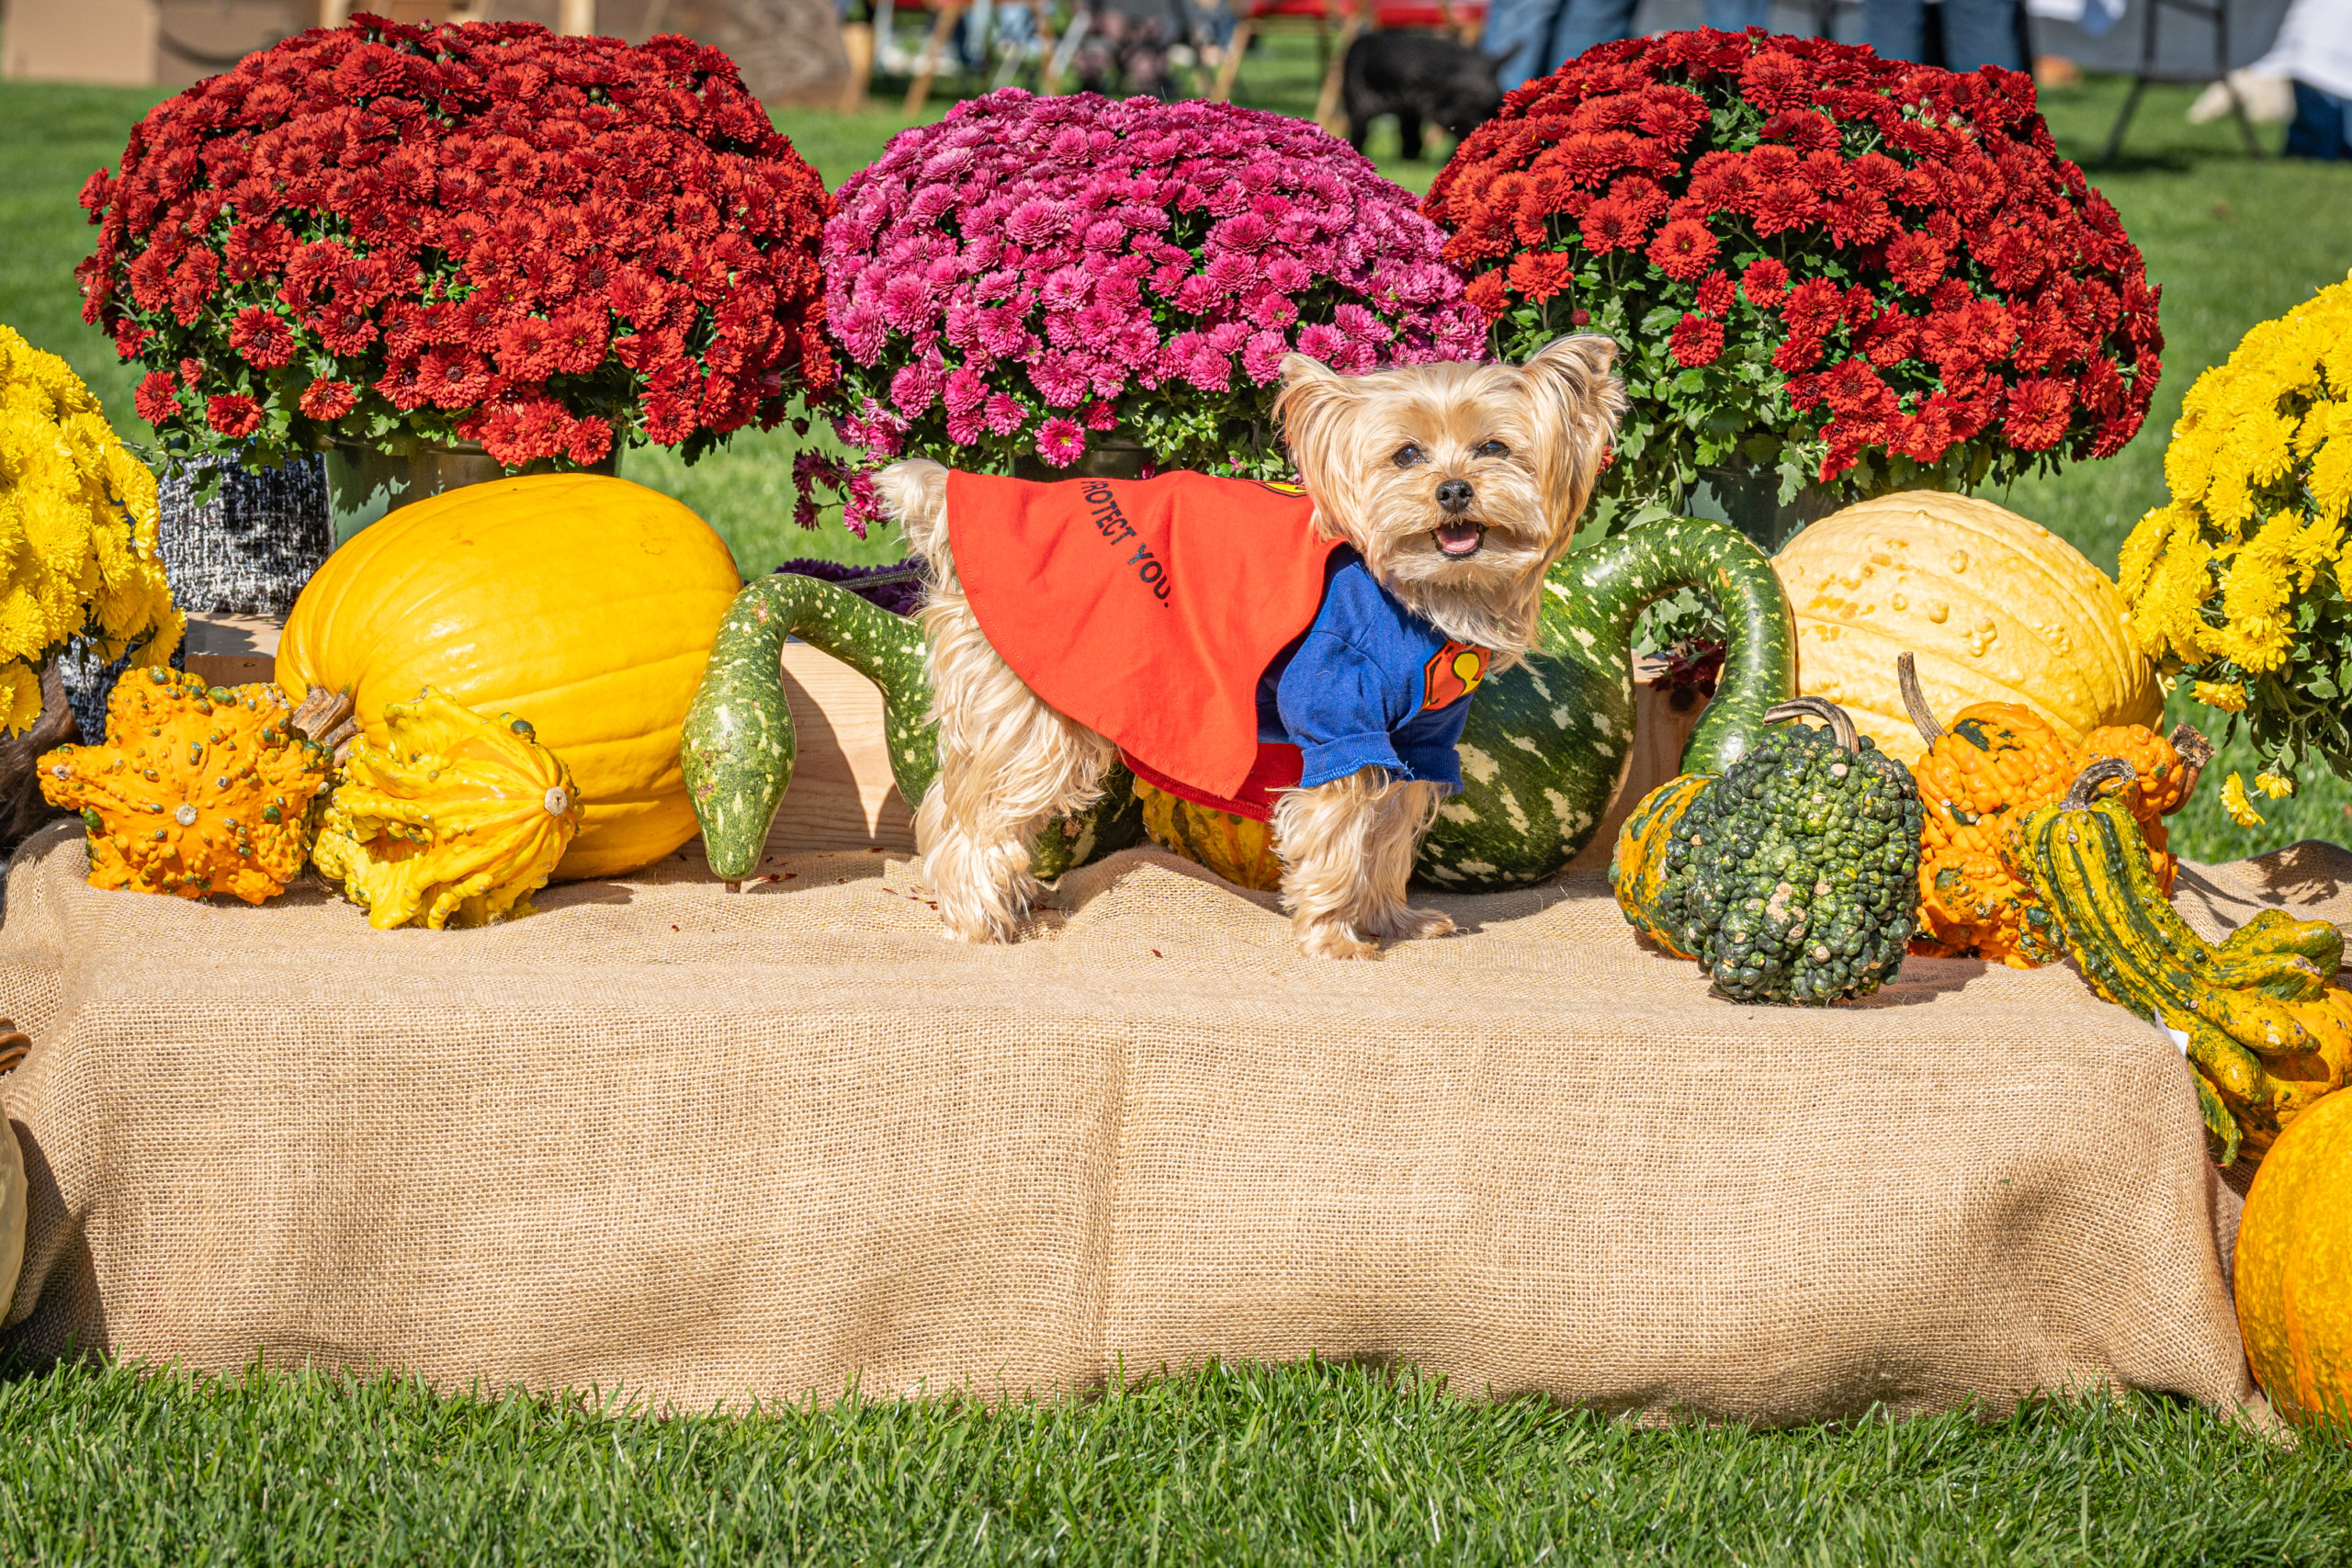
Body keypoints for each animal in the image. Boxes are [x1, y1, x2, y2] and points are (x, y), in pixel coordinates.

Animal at [875, 333, 1627, 959]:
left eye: (1494, 449)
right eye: (1406, 455)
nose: (1452, 490)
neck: (1421, 595)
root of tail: (954, 504)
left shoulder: (1422, 739)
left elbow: (1387, 838)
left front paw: (1392, 920)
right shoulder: (1339, 714)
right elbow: (1337, 835)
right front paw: (1336, 938)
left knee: (949, 805)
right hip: (1036, 704)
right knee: (980, 817)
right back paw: (982, 918)